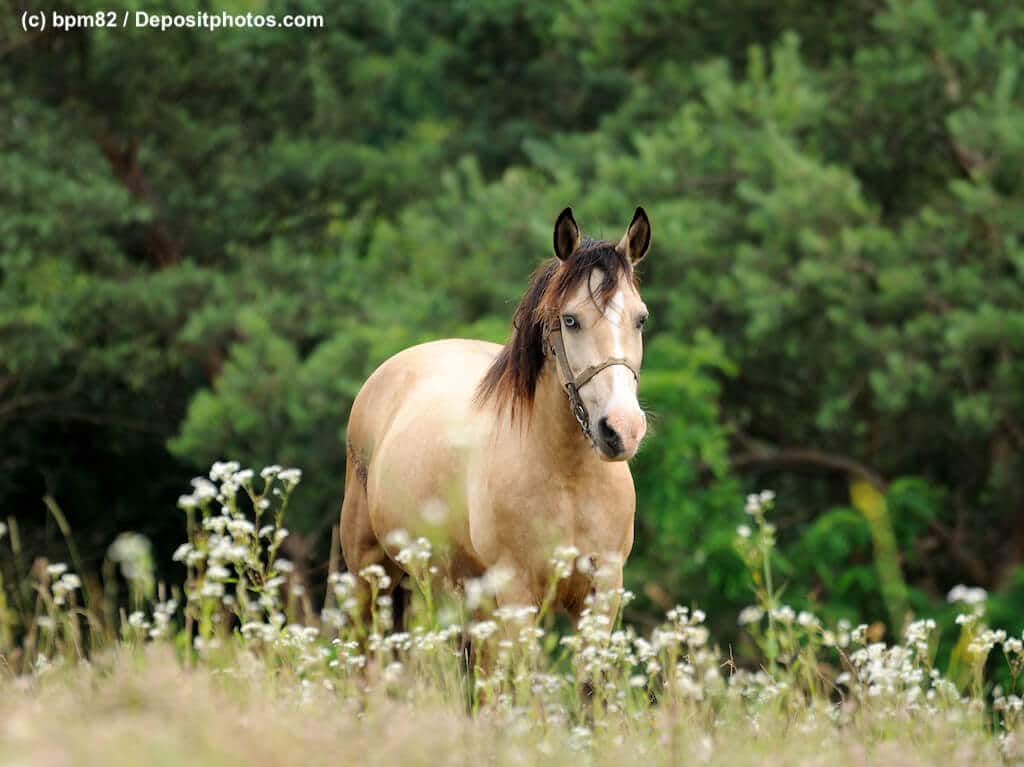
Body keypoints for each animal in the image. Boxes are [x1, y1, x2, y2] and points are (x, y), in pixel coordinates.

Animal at [340, 207, 651, 624]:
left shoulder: (603, 592)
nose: (622, 430)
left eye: (640, 319)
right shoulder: (516, 594)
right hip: (369, 577)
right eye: (571, 320)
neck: (568, 478)